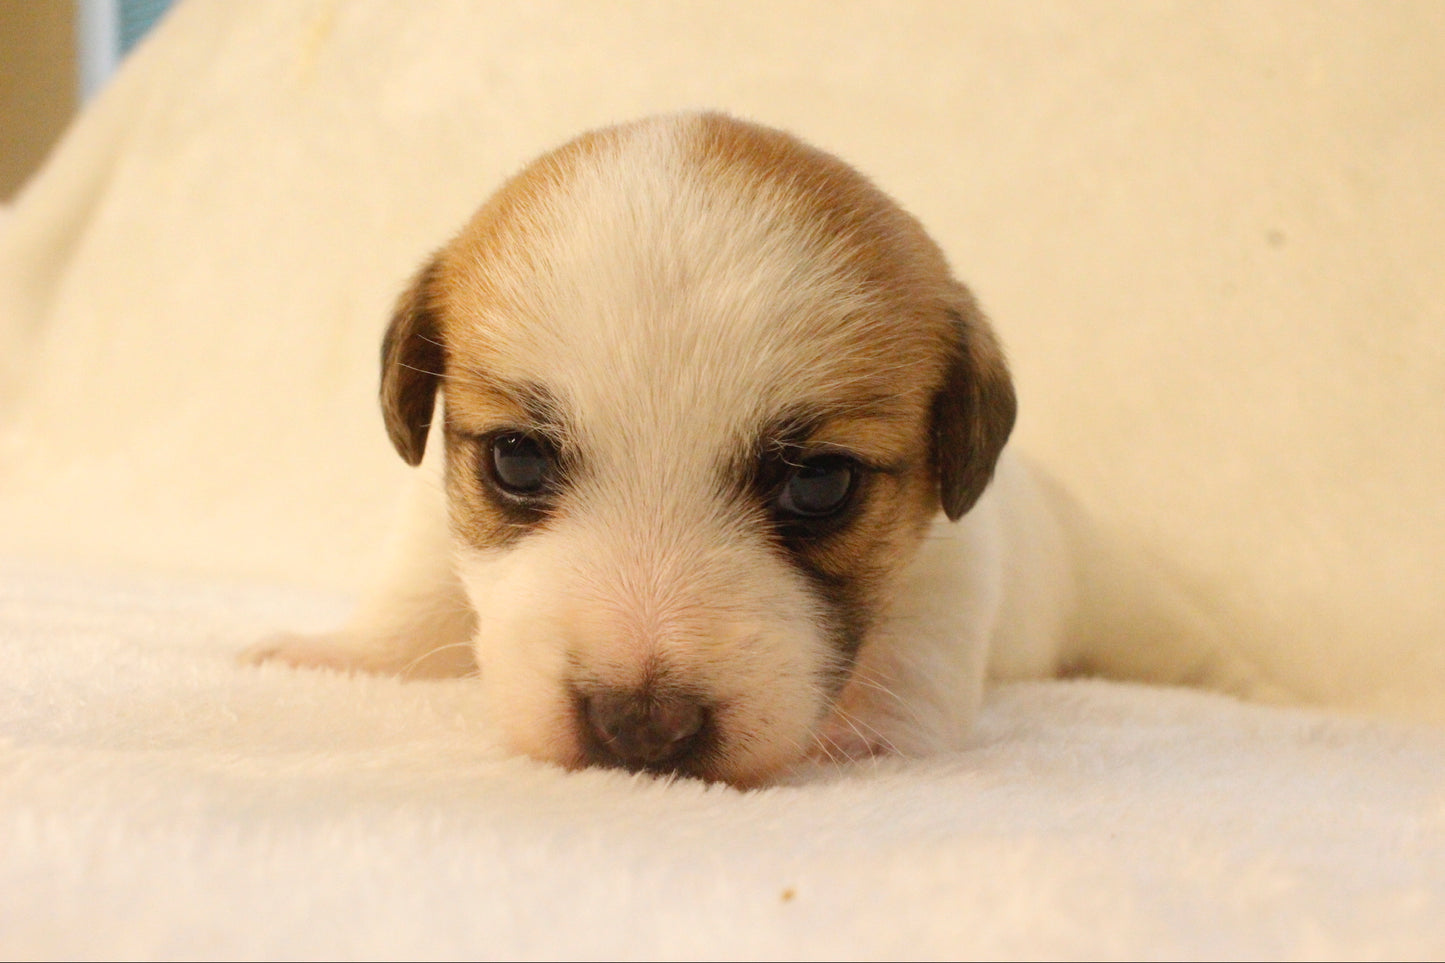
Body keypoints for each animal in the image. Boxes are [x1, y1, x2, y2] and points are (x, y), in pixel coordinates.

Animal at [248, 114, 1265, 786]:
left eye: (818, 484)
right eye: (517, 461)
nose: (640, 725)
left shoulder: (950, 559)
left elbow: (917, 650)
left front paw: (870, 738)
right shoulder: (440, 511)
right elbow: (413, 596)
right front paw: (336, 652)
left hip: (1129, 605)